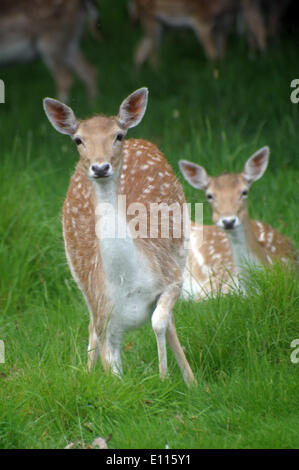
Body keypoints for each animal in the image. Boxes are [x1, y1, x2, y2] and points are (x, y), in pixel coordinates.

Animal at [42, 88, 197, 386]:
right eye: (78, 139)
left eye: (118, 135)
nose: (100, 167)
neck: (128, 284)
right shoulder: (104, 314)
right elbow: (111, 370)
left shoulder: (171, 279)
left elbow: (160, 321)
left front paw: (164, 377)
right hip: (81, 280)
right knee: (90, 324)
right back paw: (85, 372)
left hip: (181, 251)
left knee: (169, 322)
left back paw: (192, 381)